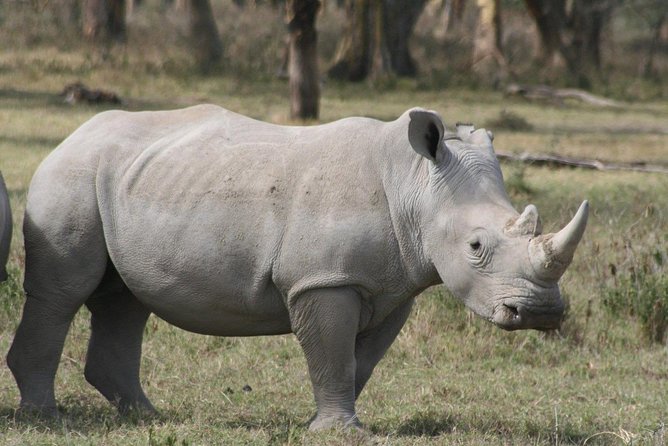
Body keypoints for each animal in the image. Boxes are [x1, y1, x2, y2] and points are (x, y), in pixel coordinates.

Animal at [7, 105, 588, 429]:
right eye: (475, 246)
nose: (540, 313)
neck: (415, 185)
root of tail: (72, 134)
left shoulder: (392, 286)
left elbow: (358, 361)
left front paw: (326, 421)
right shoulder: (323, 280)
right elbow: (331, 353)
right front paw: (339, 432)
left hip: (129, 180)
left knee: (126, 299)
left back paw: (147, 416)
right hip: (71, 174)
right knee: (64, 292)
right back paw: (46, 417)